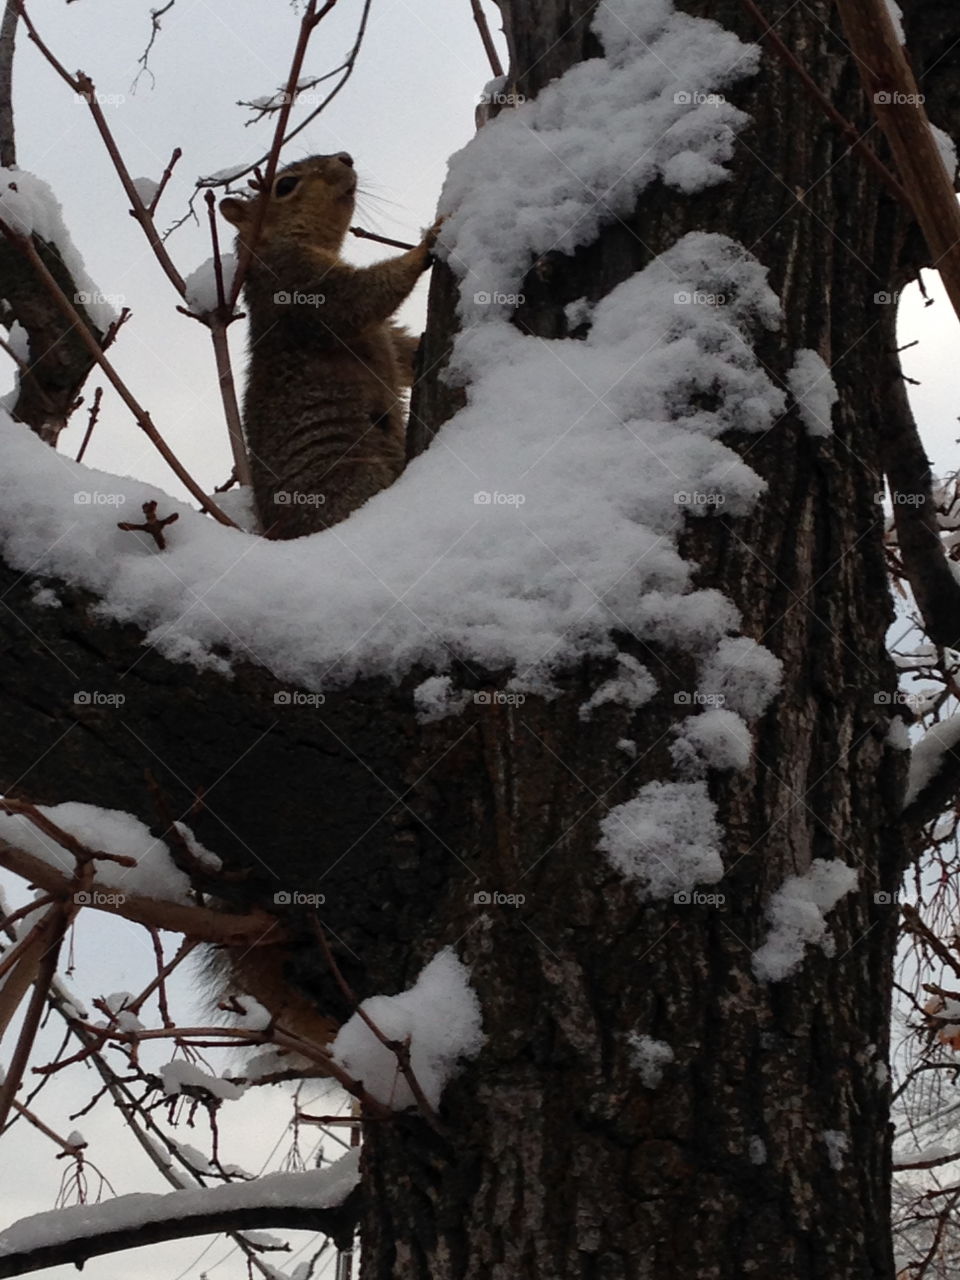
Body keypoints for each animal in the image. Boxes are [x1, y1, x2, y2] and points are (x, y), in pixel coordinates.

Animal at [219, 152, 442, 539]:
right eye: (285, 186)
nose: (346, 157)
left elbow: (398, 348)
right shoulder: (301, 289)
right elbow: (361, 296)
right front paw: (425, 244)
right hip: (352, 478)